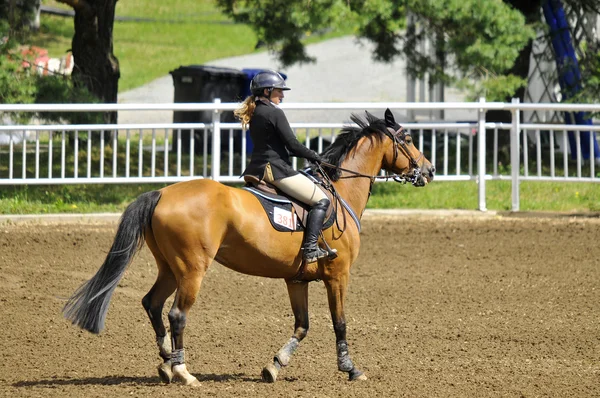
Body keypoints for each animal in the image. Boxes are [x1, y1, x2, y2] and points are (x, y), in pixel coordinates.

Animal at [62, 109, 436, 386]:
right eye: (407, 139)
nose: (429, 170)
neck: (339, 192)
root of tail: (162, 193)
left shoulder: (296, 280)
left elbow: (302, 325)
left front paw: (274, 365)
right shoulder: (337, 275)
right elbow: (339, 322)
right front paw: (351, 369)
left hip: (170, 267)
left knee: (152, 304)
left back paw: (167, 363)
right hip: (192, 269)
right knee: (176, 314)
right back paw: (184, 372)